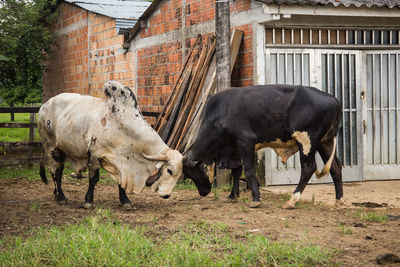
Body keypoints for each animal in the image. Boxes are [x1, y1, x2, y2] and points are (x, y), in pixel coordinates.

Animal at [38, 80, 182, 208]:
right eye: (169, 170)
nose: (167, 195)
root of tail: (45, 105)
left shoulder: (121, 161)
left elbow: (120, 182)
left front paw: (125, 201)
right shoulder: (94, 155)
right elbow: (93, 179)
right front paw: (88, 201)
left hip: (61, 149)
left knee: (59, 170)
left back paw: (56, 194)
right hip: (51, 146)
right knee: (55, 171)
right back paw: (61, 197)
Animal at [183, 85, 342, 208]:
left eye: (193, 172)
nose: (203, 192)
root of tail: (332, 99)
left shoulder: (245, 142)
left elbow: (249, 171)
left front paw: (256, 199)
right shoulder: (234, 149)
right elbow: (236, 172)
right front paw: (233, 196)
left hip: (307, 141)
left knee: (309, 168)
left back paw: (292, 200)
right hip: (325, 142)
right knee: (335, 167)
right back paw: (338, 200)